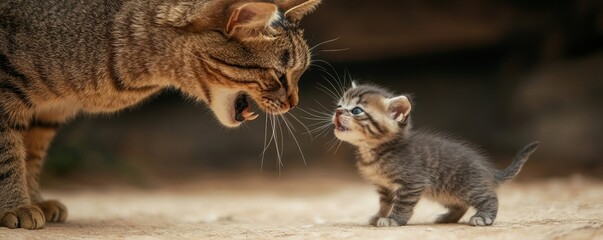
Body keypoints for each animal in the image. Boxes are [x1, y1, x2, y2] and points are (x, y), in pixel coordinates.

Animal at [0, 0, 324, 229]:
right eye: (281, 76)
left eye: (299, 74)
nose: (294, 102)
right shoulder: (6, 91)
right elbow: (9, 154)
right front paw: (15, 207)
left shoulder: (48, 113)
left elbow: (31, 156)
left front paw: (34, 200)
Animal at [332, 83, 540, 227]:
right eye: (340, 104)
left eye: (356, 110)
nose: (337, 111)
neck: (374, 151)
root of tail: (489, 171)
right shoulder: (385, 187)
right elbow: (385, 204)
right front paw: (380, 216)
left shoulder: (412, 183)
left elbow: (402, 205)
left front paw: (393, 220)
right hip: (444, 193)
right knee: (461, 205)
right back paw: (447, 218)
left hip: (468, 187)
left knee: (490, 198)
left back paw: (483, 217)